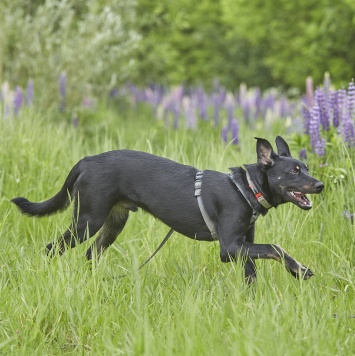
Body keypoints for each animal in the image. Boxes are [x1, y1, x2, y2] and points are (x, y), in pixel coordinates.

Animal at [11, 137, 324, 284]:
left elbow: (253, 274)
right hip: (87, 220)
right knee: (52, 248)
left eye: (306, 167)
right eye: (294, 171)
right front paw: (300, 270)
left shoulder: (244, 244)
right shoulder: (230, 248)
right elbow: (276, 247)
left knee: (91, 254)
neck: (246, 188)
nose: (320, 185)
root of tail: (86, 160)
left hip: (113, 223)